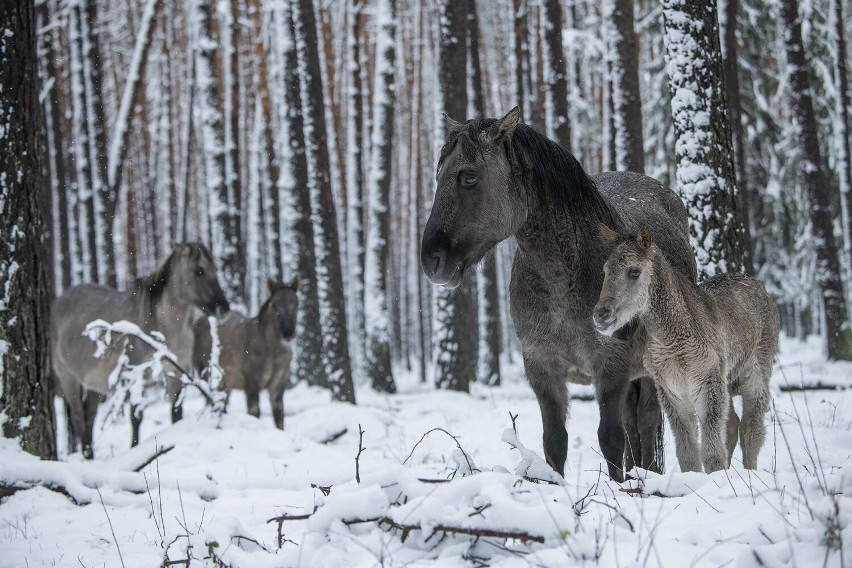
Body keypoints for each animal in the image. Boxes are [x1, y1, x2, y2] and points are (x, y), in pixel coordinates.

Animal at [50, 241, 230, 458]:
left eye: (215, 269)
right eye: (199, 271)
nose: (224, 308)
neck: (162, 327)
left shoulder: (175, 374)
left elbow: (176, 413)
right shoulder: (136, 378)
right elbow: (136, 419)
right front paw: (135, 450)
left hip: (97, 384)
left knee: (89, 415)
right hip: (68, 378)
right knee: (78, 417)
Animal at [193, 278, 300, 428]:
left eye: (296, 304)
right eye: (274, 306)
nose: (288, 333)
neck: (274, 356)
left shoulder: (279, 384)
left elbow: (279, 416)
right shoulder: (251, 381)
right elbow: (254, 412)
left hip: (226, 382)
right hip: (204, 373)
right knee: (210, 402)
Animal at [422, 108, 696, 482]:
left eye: (468, 177)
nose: (431, 260)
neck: (564, 279)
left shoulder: (610, 364)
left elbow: (610, 439)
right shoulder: (542, 366)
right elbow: (555, 441)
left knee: (646, 422)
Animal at [592, 226, 780, 470]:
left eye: (634, 272)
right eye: (606, 270)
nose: (601, 315)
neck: (674, 340)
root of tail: (761, 288)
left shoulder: (708, 384)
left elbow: (712, 453)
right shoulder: (672, 392)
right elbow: (688, 453)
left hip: (755, 374)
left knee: (751, 429)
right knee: (732, 425)